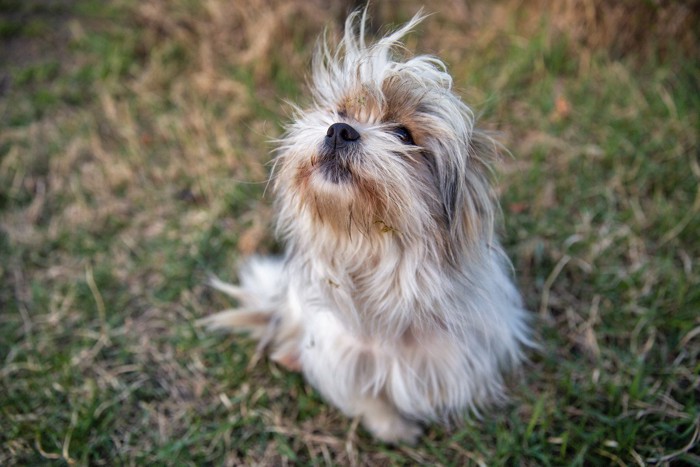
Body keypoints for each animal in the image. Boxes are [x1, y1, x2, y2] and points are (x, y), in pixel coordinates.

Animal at [200, 9, 532, 444]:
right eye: (341, 113)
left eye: (403, 134)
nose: (340, 130)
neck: (374, 253)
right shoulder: (339, 353)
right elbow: (366, 398)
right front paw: (395, 429)